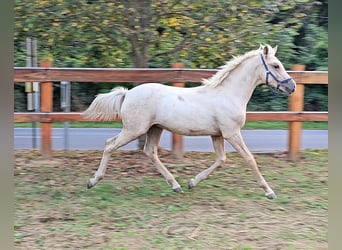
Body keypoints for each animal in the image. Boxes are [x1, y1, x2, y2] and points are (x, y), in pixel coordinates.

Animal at [84, 43, 296, 199]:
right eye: (276, 65)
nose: (292, 86)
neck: (228, 94)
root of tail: (127, 93)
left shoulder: (217, 135)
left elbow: (221, 159)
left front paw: (192, 182)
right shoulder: (232, 133)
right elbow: (250, 158)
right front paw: (269, 191)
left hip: (155, 129)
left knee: (150, 152)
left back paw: (176, 185)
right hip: (134, 129)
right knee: (110, 145)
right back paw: (92, 181)